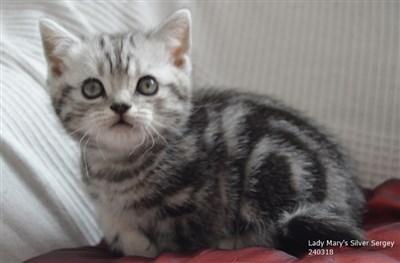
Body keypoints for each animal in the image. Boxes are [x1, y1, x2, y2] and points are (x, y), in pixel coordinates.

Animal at [39, 8, 364, 260]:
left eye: (147, 85)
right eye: (92, 88)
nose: (120, 107)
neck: (120, 169)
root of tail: (350, 198)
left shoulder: (190, 208)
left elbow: (167, 240)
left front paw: (137, 242)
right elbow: (109, 219)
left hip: (274, 165)